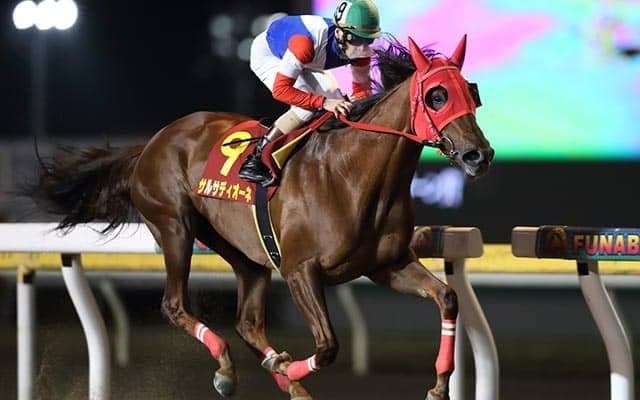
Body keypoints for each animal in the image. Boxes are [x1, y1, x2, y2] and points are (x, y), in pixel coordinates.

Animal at [29, 36, 493, 400]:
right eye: (437, 95)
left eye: (472, 92)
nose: (479, 155)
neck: (352, 175)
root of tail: (150, 143)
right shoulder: (300, 270)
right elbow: (328, 345)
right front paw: (287, 367)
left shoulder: (386, 265)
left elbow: (447, 297)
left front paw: (438, 385)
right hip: (175, 226)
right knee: (175, 305)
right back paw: (233, 369)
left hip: (245, 253)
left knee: (247, 323)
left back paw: (272, 375)